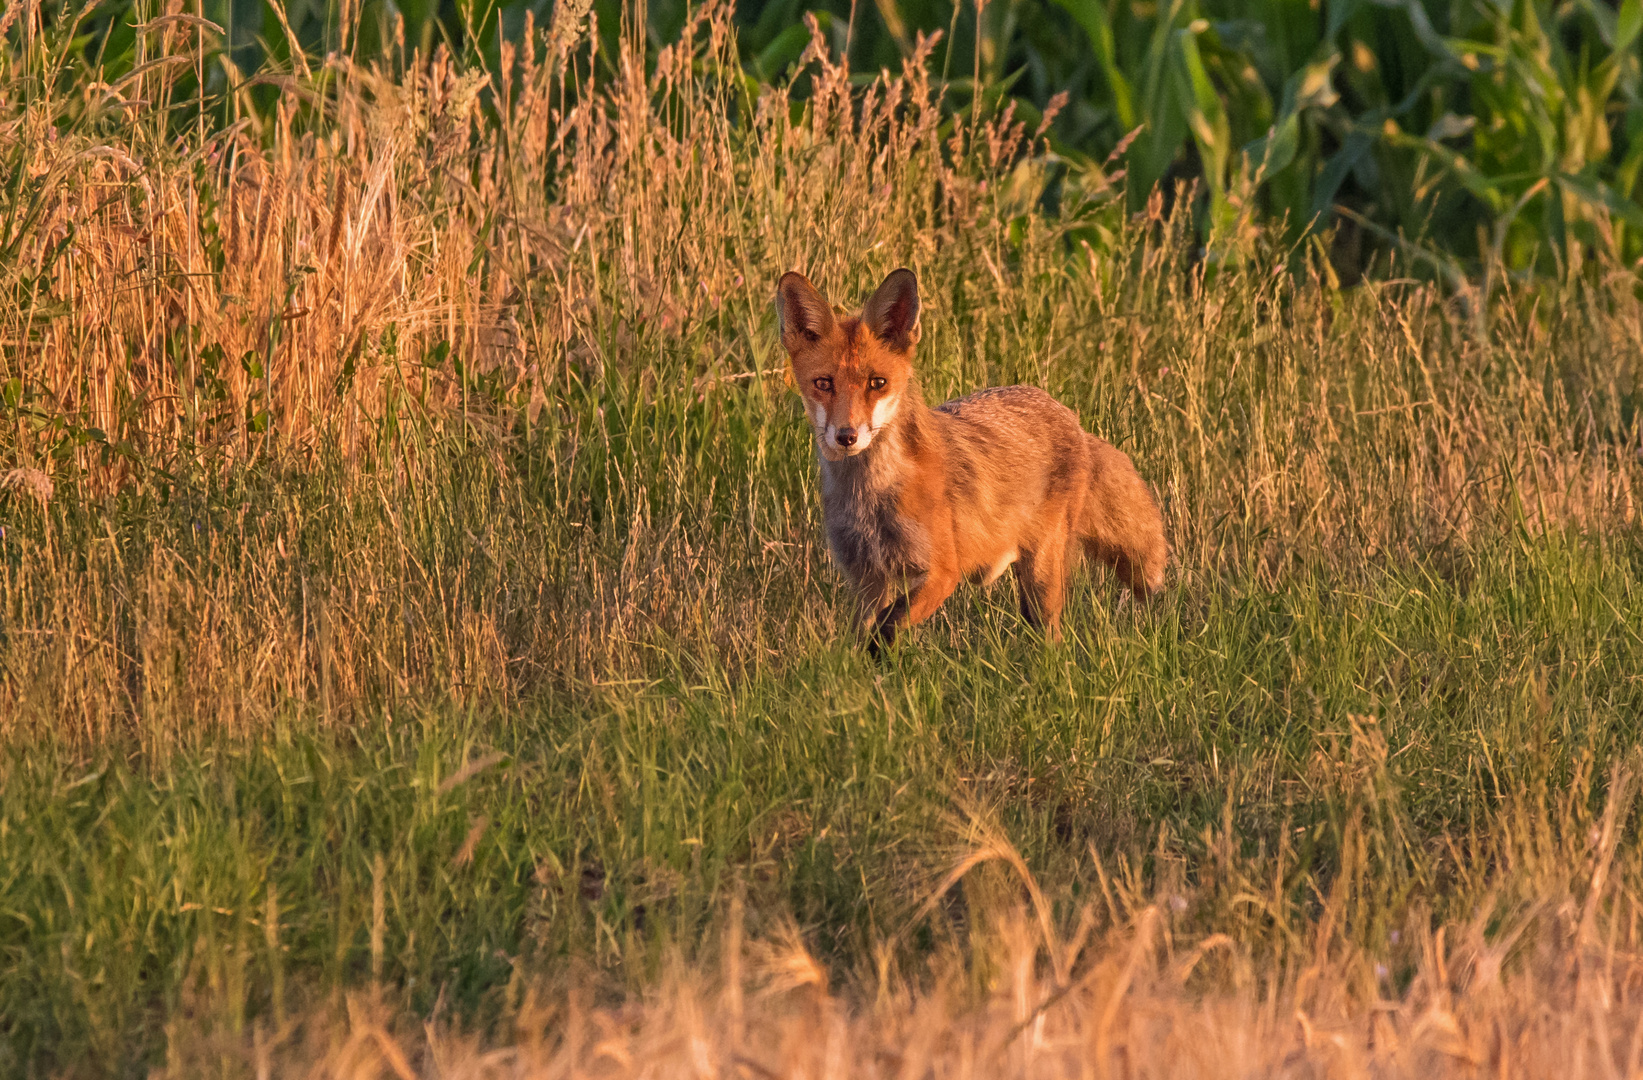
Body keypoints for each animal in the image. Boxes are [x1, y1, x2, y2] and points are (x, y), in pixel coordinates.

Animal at [772, 266, 1169, 647]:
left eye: (877, 383)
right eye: (824, 384)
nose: (847, 436)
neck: (871, 498)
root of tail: (1070, 417)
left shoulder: (942, 572)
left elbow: (888, 627)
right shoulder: (868, 579)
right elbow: (863, 639)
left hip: (1042, 577)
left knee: (1053, 641)